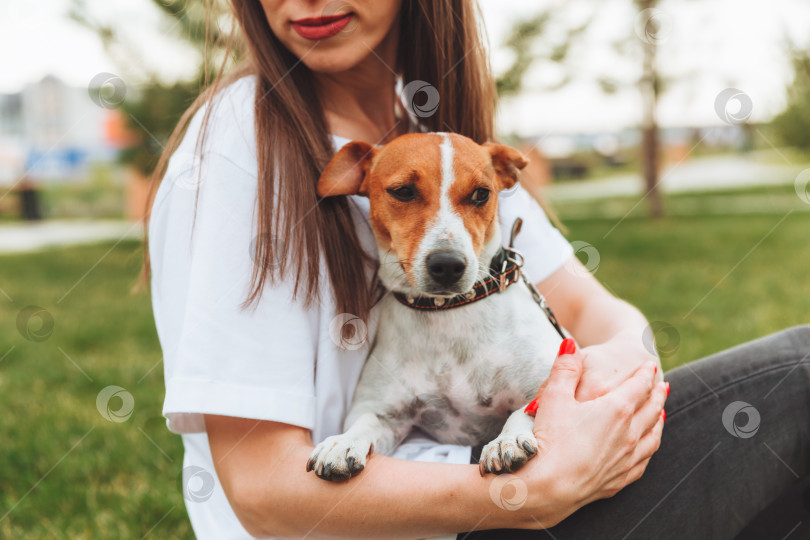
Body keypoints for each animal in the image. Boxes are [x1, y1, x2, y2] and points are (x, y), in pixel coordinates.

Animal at [306, 132, 564, 480]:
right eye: (403, 191)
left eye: (481, 194)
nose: (448, 265)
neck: (447, 312)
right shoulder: (384, 413)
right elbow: (364, 422)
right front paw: (343, 442)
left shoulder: (551, 380)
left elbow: (527, 410)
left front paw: (506, 440)